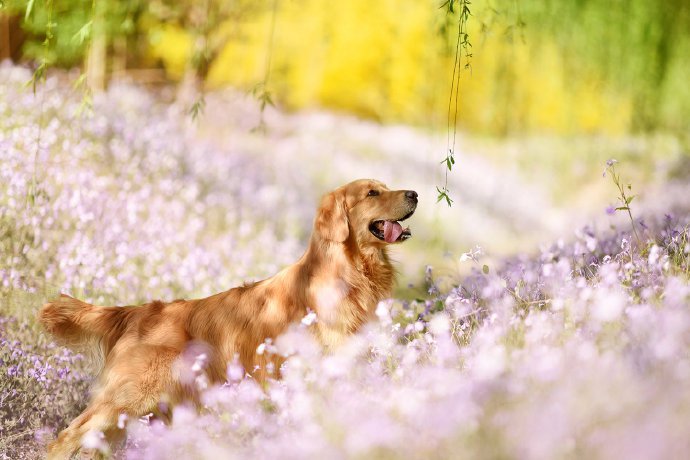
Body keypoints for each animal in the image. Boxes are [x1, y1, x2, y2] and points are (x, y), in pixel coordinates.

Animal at [40, 179, 416, 456]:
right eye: (372, 193)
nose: (414, 194)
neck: (351, 274)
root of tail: (139, 310)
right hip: (125, 400)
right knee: (66, 437)